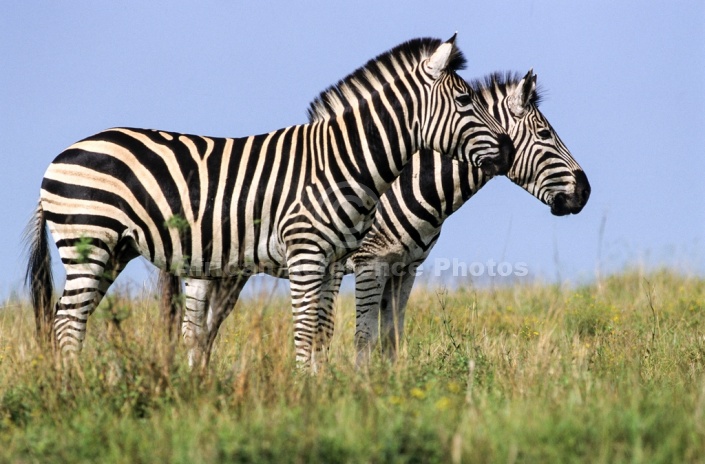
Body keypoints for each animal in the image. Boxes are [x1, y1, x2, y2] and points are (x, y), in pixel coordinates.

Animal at [27, 35, 516, 370]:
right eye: (464, 99)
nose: (509, 148)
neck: (342, 161)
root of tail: (61, 154)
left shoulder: (334, 260)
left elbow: (322, 330)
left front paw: (320, 391)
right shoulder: (307, 253)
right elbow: (305, 330)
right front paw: (304, 392)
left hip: (114, 250)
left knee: (70, 319)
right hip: (88, 239)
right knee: (67, 320)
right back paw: (74, 389)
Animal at [160, 69, 588, 368]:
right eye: (545, 135)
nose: (585, 192)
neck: (405, 183)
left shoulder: (406, 268)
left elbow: (392, 338)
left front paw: (389, 388)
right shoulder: (371, 262)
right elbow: (362, 337)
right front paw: (361, 390)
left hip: (231, 270)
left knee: (207, 331)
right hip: (203, 270)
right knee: (193, 331)